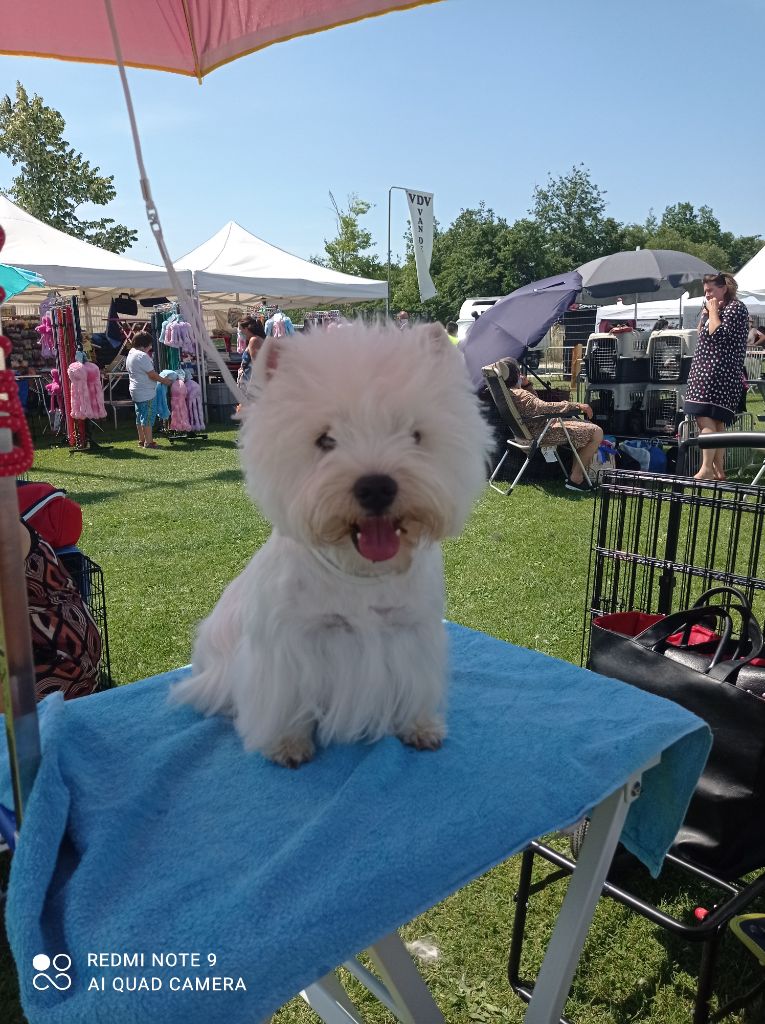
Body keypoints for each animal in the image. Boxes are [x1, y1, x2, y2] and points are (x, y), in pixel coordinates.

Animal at [173, 323, 491, 765]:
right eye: (325, 440)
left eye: (414, 435)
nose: (376, 488)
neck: (361, 572)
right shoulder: (288, 647)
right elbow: (285, 700)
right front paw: (287, 744)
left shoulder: (411, 631)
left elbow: (415, 685)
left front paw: (421, 726)